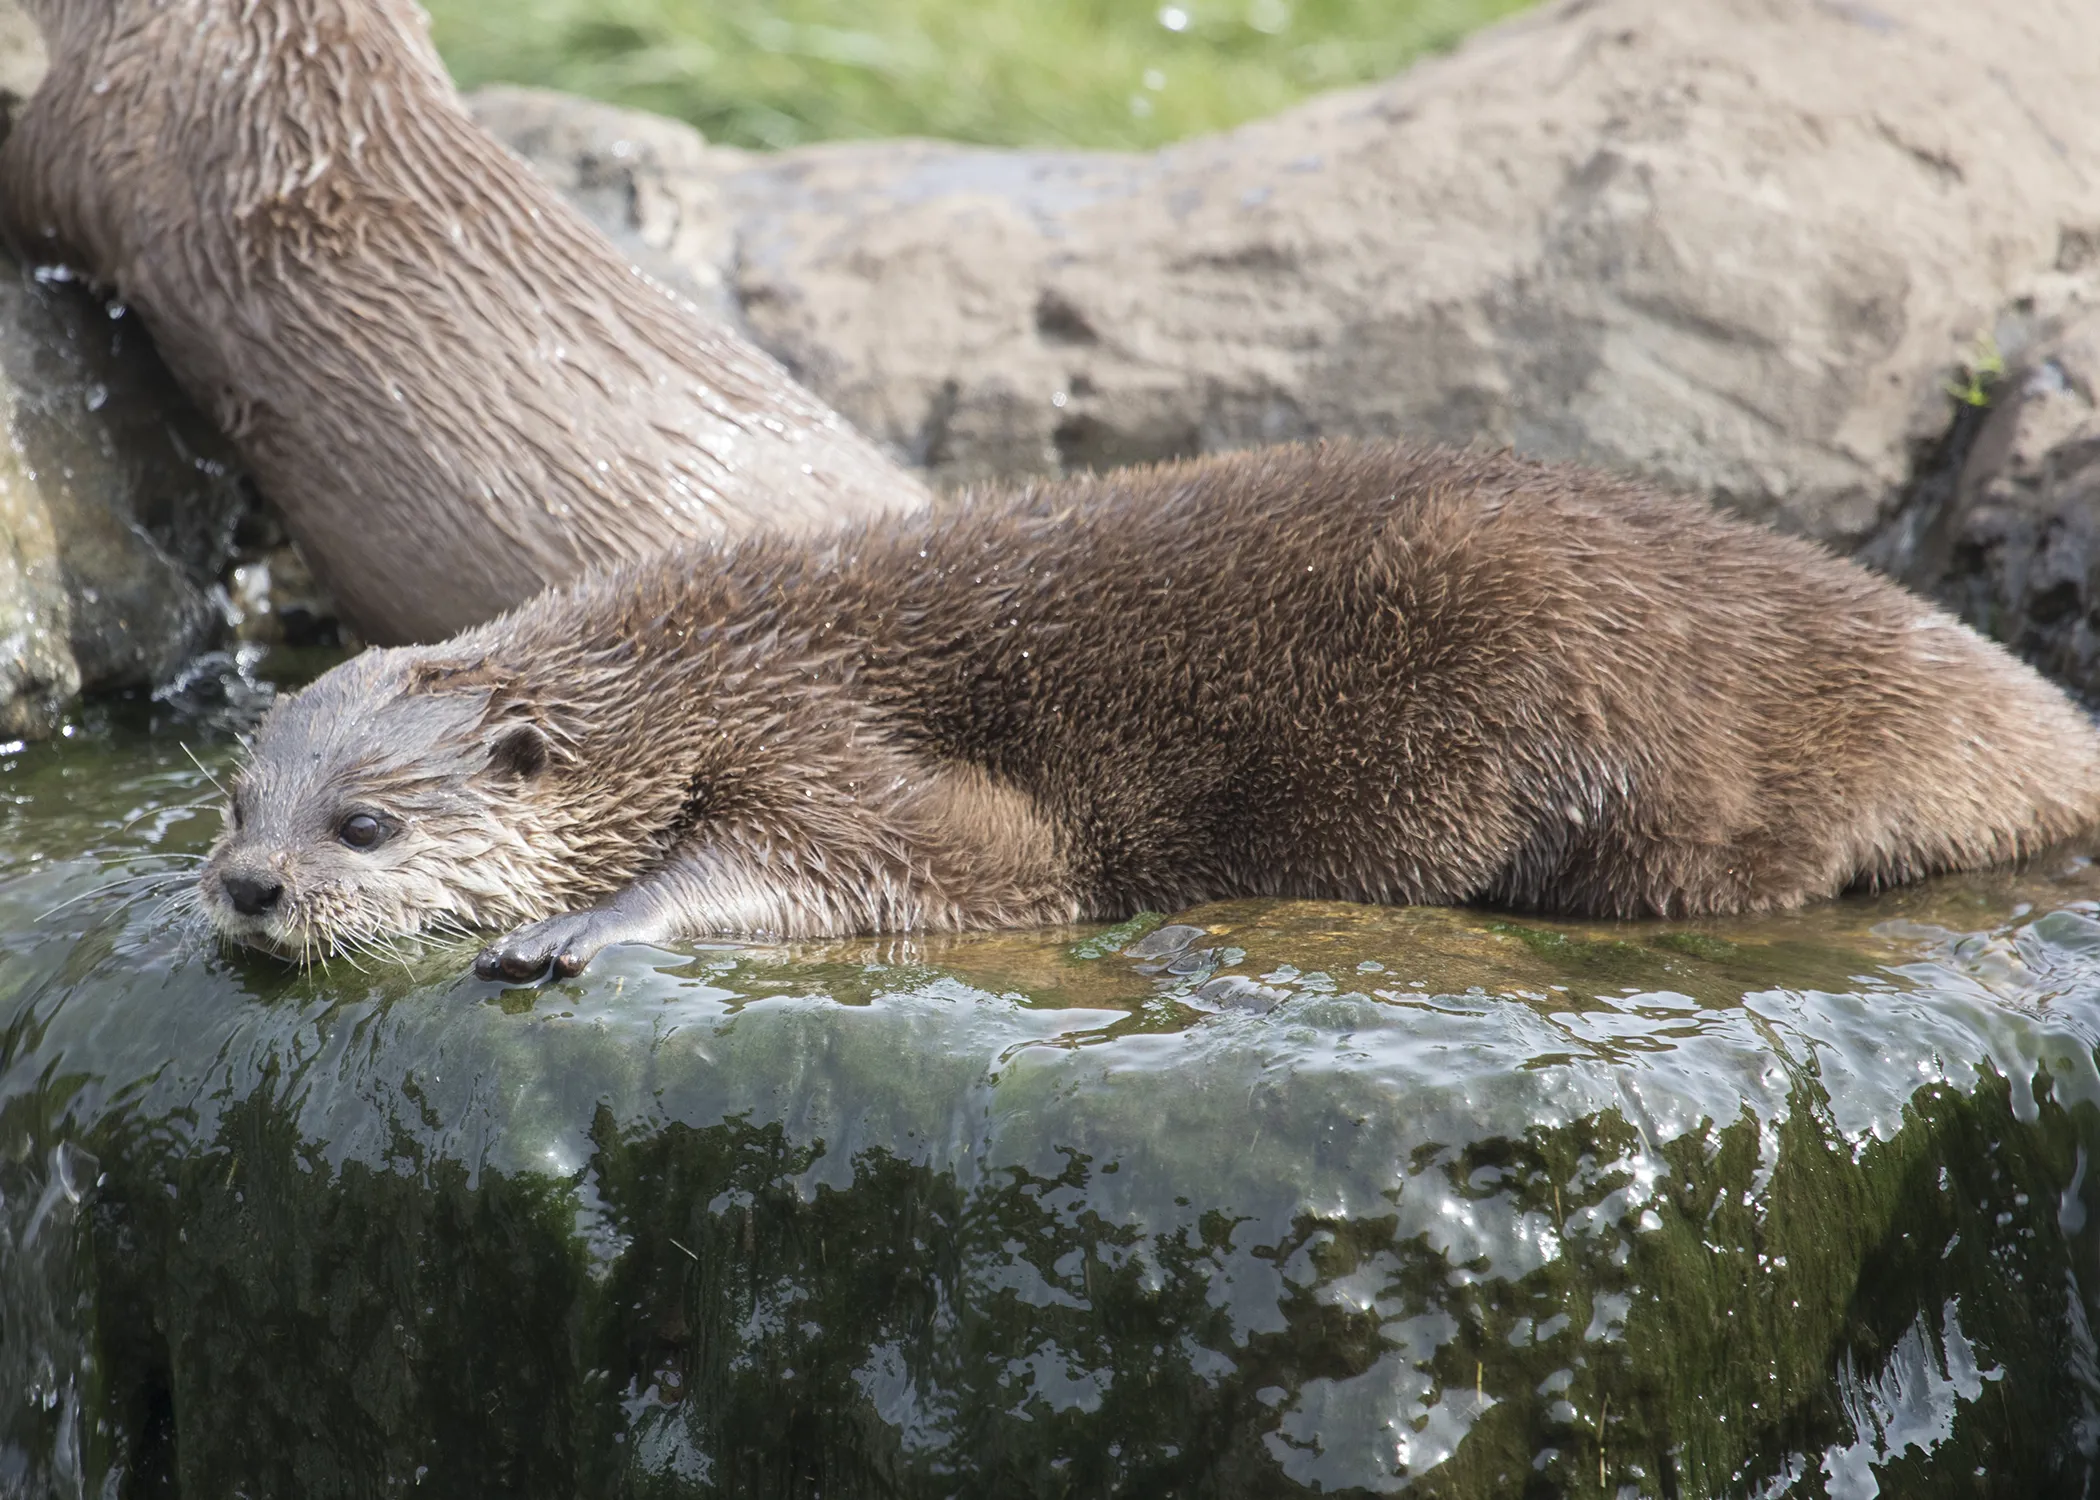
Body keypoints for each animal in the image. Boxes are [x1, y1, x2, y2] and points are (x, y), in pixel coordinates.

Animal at [188, 439, 2100, 974]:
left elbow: (933, 860)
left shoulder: (821, 731)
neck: (690, 672)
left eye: (367, 824)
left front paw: (587, 926)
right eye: (233, 804)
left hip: (1607, 702)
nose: (253, 887)